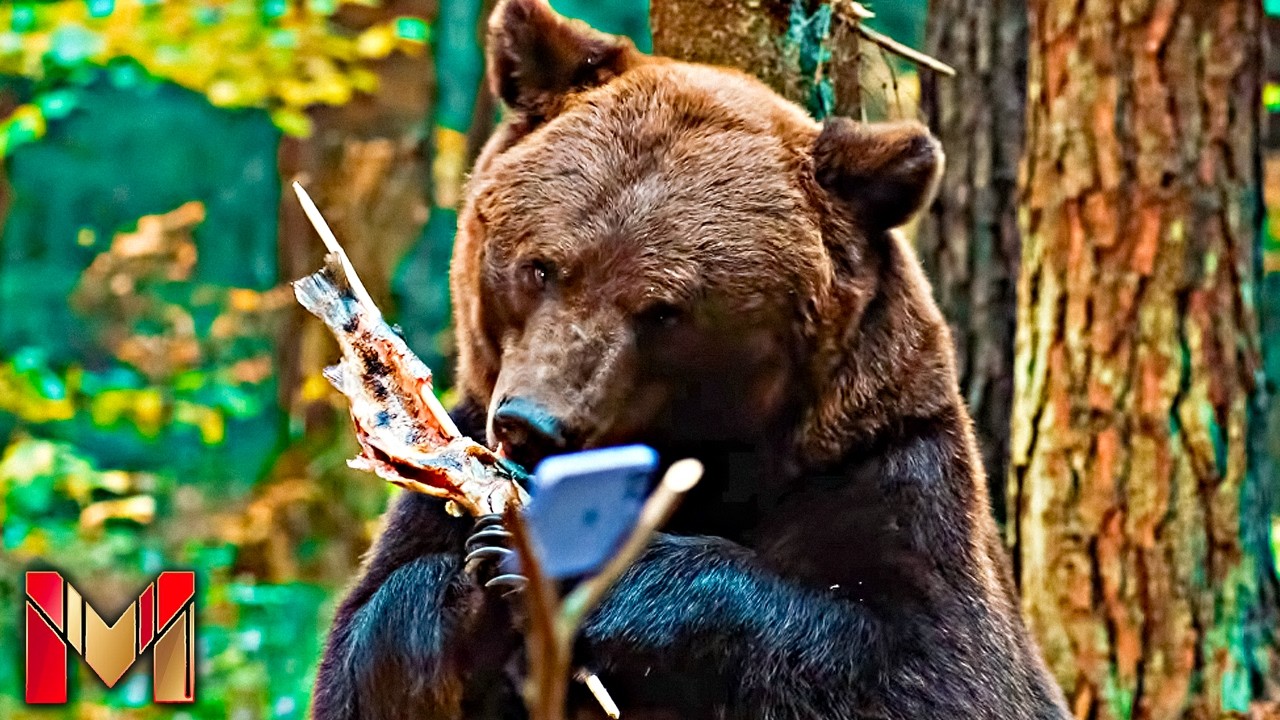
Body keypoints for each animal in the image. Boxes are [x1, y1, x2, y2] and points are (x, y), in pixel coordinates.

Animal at [310, 1, 1072, 718]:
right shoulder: (451, 457)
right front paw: (481, 583)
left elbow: (928, 667)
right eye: (542, 267)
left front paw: (570, 561)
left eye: (662, 310)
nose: (533, 425)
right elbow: (364, 645)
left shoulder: (887, 471)